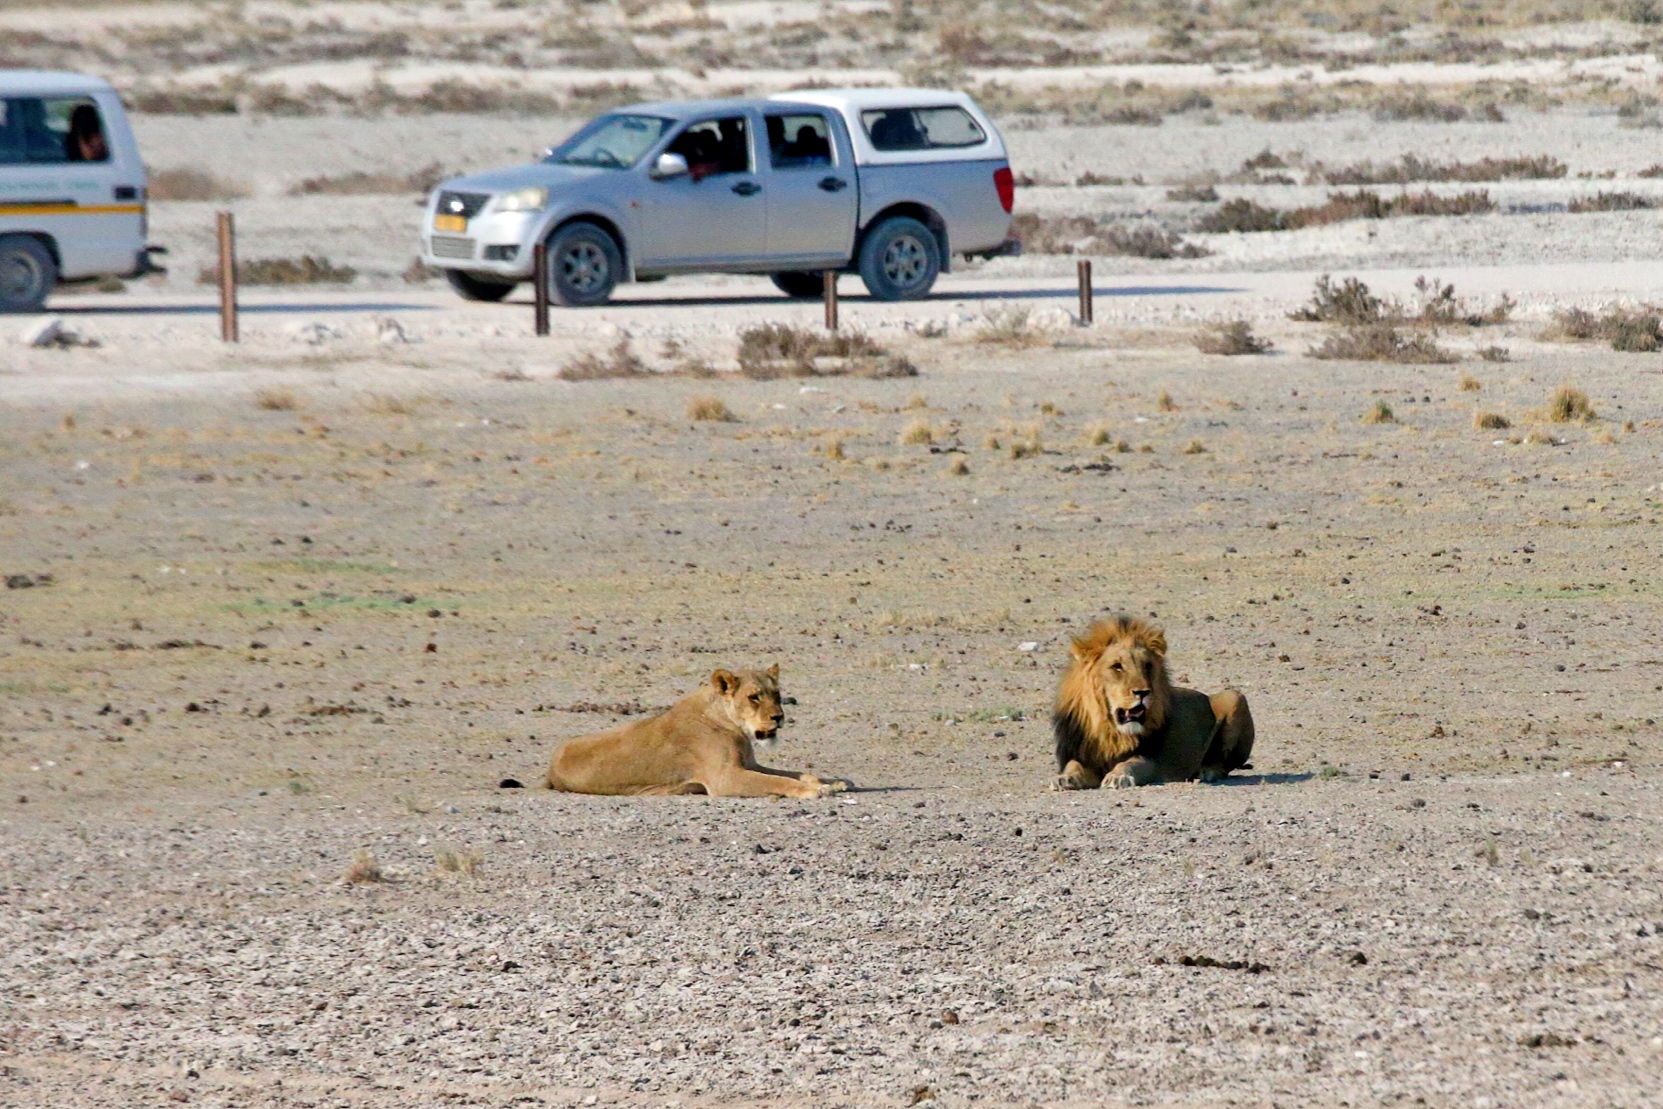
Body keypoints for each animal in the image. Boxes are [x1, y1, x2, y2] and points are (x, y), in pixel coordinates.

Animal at [548, 668, 844, 798]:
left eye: (777, 695)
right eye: (754, 697)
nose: (779, 717)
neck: (734, 726)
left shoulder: (749, 765)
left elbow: (792, 773)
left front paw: (832, 782)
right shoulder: (725, 778)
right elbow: (777, 781)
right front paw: (814, 790)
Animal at [1057, 615, 1250, 788]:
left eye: (1147, 665)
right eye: (1117, 666)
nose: (1142, 692)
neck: (1112, 732)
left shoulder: (1152, 759)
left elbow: (1131, 763)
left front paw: (1118, 777)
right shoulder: (1080, 754)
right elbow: (1073, 765)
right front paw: (1065, 778)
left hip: (1234, 696)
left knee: (1223, 764)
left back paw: (1207, 771)